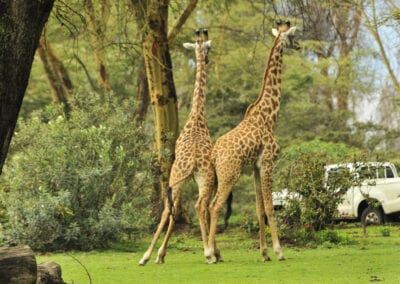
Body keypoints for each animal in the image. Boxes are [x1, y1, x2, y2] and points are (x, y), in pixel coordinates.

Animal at [141, 27, 216, 266]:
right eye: (208, 48)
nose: (207, 59)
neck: (197, 115)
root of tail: (191, 162)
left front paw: (160, 254)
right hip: (198, 177)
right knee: (196, 206)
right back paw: (208, 253)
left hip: (182, 178)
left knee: (171, 208)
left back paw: (146, 256)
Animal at [206, 20, 296, 264]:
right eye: (293, 36)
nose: (299, 46)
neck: (269, 116)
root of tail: (214, 155)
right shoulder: (268, 162)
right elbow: (270, 207)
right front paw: (279, 252)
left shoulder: (256, 166)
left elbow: (259, 208)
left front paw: (264, 253)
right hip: (230, 174)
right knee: (215, 206)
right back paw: (210, 254)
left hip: (217, 176)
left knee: (207, 205)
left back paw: (215, 252)